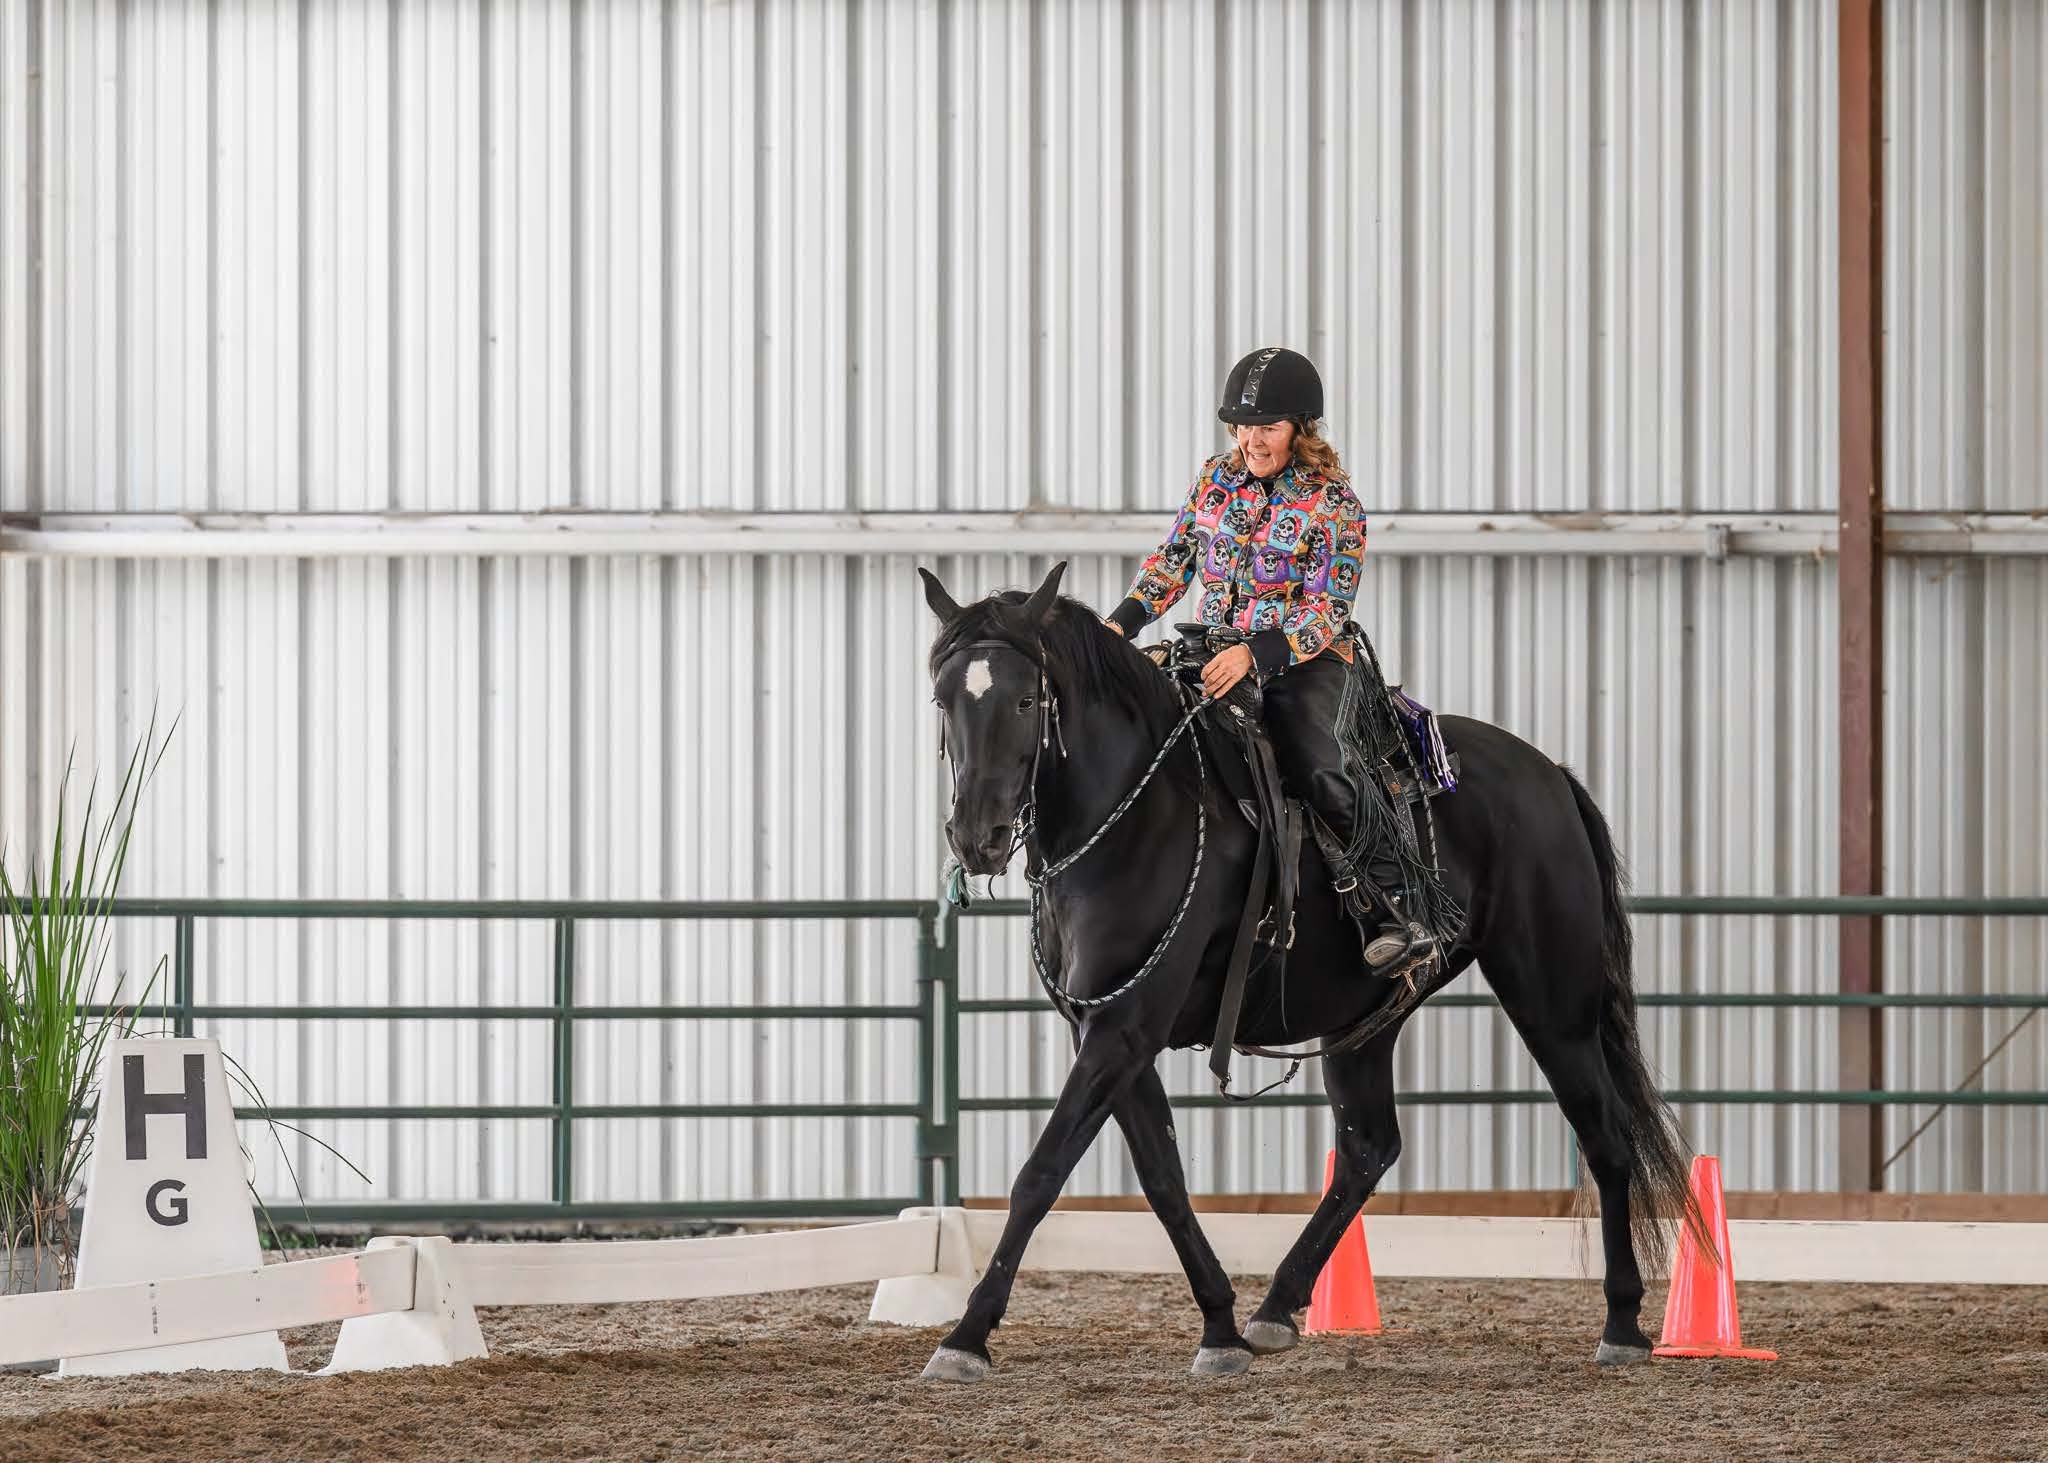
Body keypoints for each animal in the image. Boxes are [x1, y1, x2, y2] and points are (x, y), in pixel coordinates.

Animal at [916, 560, 1702, 1382]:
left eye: (1025, 699)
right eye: (944, 699)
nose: (977, 836)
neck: (1137, 813)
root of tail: (1549, 774)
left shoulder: (1124, 1027)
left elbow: (1041, 1172)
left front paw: (965, 1335)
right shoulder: (1106, 1030)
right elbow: (1162, 1177)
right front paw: (1220, 1326)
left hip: (1552, 999)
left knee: (1604, 1132)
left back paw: (1622, 1323)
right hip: (1366, 1019)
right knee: (1368, 1147)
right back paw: (1275, 1306)